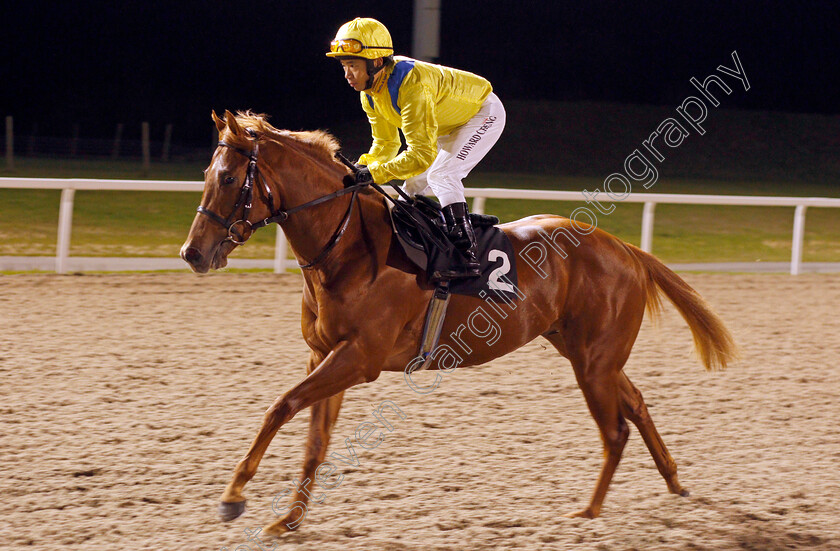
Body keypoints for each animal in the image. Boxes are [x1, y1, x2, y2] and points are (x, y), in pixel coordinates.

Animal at [179, 110, 736, 536]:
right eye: (205, 175)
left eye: (228, 179)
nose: (192, 253)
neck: (348, 247)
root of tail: (625, 248)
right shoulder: (324, 353)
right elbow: (314, 440)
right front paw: (288, 520)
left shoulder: (359, 359)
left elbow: (280, 406)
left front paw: (234, 495)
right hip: (586, 351)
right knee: (637, 405)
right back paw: (674, 482)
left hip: (594, 360)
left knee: (615, 430)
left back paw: (590, 510)